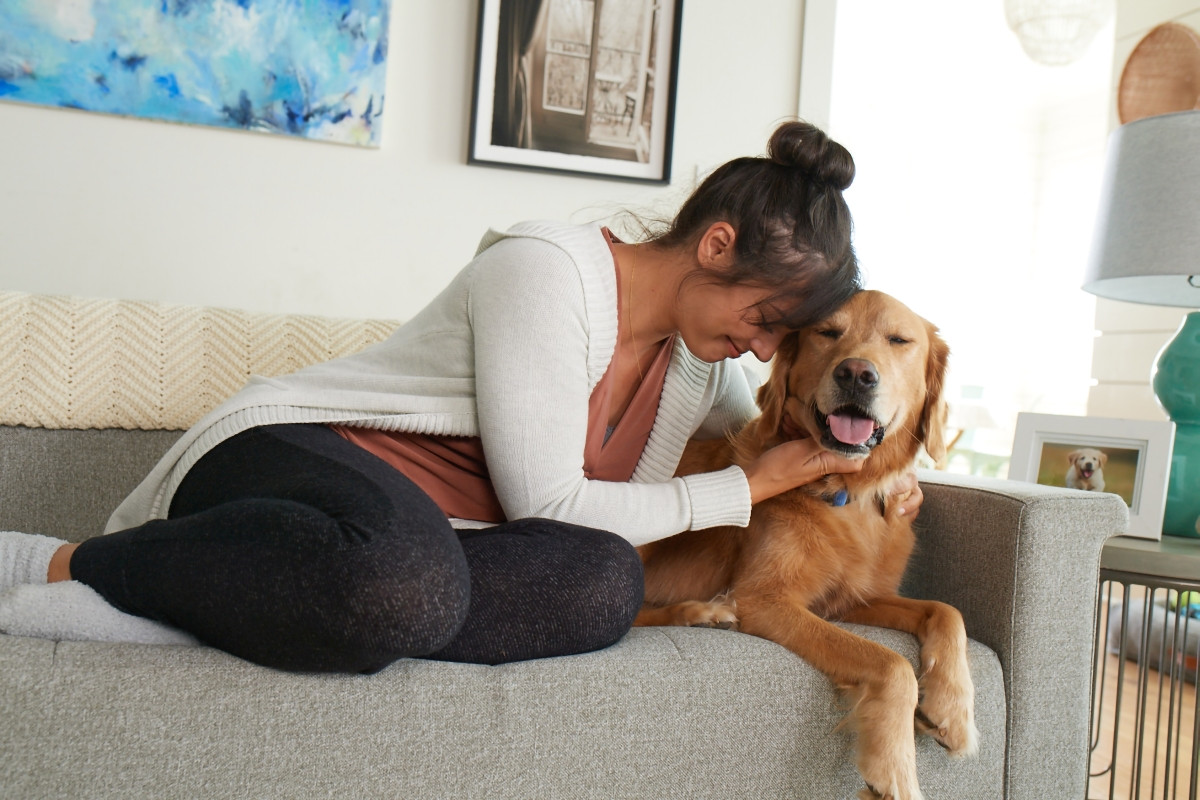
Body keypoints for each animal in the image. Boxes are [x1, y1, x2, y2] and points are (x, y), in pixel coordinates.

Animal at [638, 291, 974, 800]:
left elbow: (946, 610)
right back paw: (700, 611)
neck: (848, 494)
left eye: (899, 340)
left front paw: (953, 709)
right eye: (827, 332)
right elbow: (892, 663)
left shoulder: (854, 599)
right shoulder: (766, 599)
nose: (856, 373)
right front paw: (894, 772)